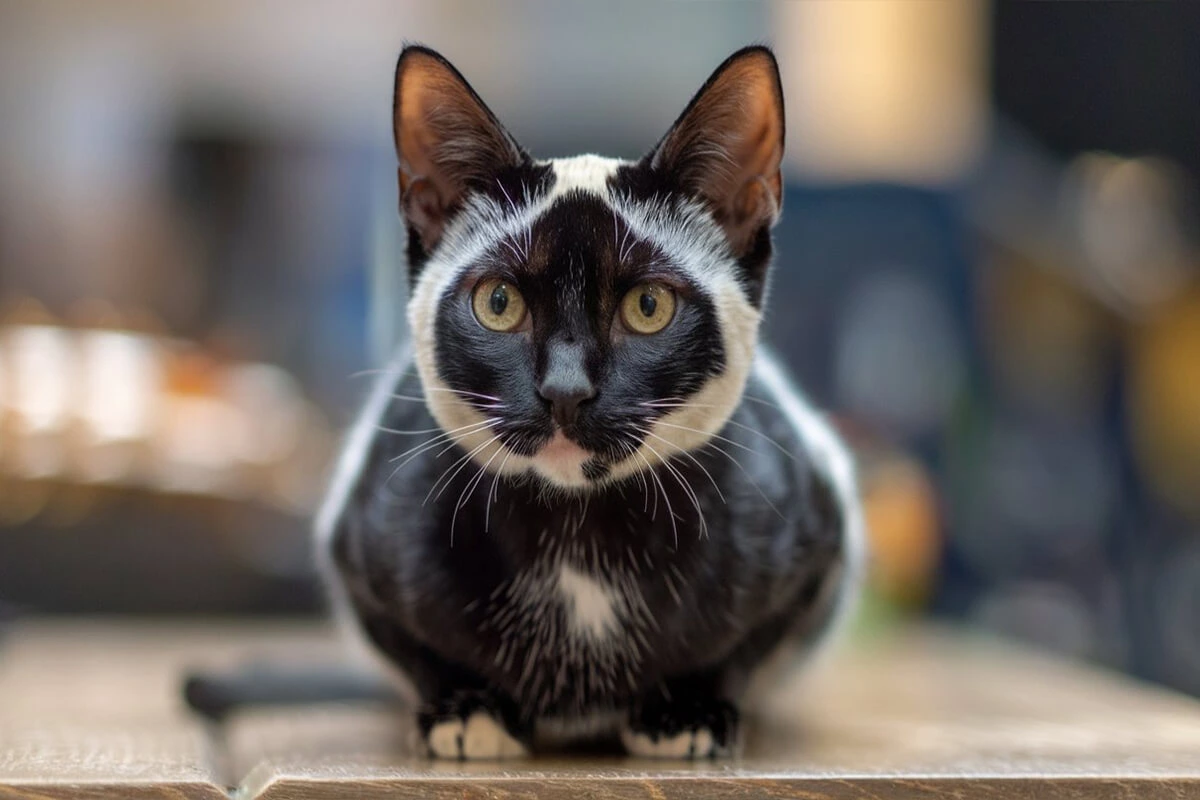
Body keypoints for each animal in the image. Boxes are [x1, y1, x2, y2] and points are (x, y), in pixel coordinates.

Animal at [316, 45, 864, 762]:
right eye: (498, 302)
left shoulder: (818, 538)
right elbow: (416, 650)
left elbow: (742, 651)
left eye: (649, 306)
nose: (565, 389)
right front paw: (466, 706)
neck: (579, 540)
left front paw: (686, 707)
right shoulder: (357, 544)